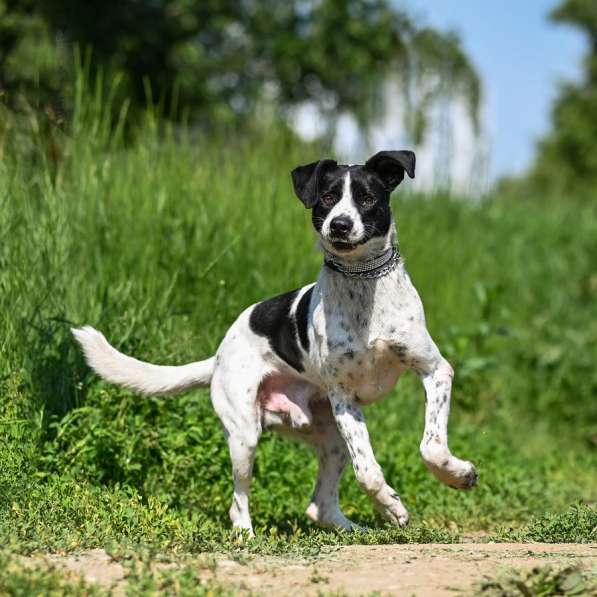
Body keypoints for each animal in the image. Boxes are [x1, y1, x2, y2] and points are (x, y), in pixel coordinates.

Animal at [72, 151, 478, 532]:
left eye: (366, 197)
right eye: (327, 197)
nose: (340, 224)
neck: (362, 284)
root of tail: (217, 356)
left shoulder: (434, 370)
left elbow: (431, 446)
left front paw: (457, 475)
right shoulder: (344, 398)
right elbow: (369, 471)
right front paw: (393, 506)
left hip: (329, 437)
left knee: (319, 505)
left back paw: (352, 529)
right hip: (245, 434)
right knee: (239, 501)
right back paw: (246, 535)